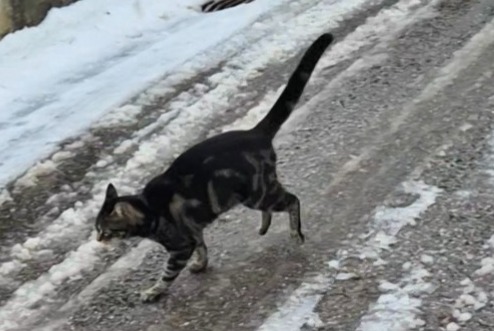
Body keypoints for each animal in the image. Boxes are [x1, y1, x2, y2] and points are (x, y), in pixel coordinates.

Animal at [95, 31, 336, 304]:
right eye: (97, 230)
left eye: (104, 231)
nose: (97, 239)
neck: (148, 208)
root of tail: (254, 132)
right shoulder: (193, 231)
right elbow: (203, 247)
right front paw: (201, 265)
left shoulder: (181, 246)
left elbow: (168, 273)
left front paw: (154, 291)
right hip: (254, 195)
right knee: (274, 207)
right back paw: (264, 226)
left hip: (258, 192)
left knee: (293, 200)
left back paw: (296, 234)